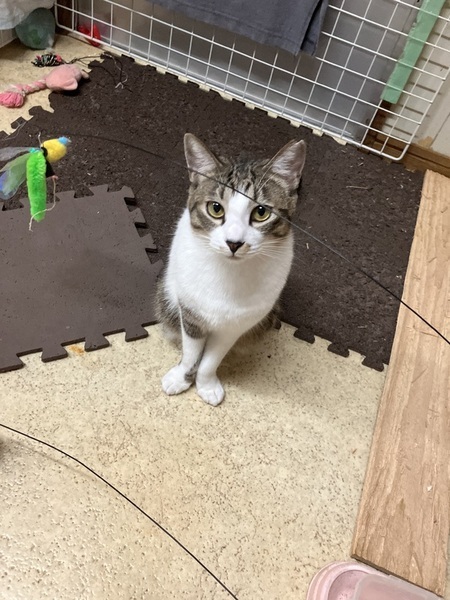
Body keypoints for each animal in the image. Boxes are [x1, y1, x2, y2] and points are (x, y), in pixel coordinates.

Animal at [156, 133, 306, 406]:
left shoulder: (235, 325)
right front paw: (180, 378)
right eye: (215, 208)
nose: (234, 243)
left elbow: (211, 360)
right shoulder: (191, 312)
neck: (228, 273)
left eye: (261, 212)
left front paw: (206, 385)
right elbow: (191, 353)